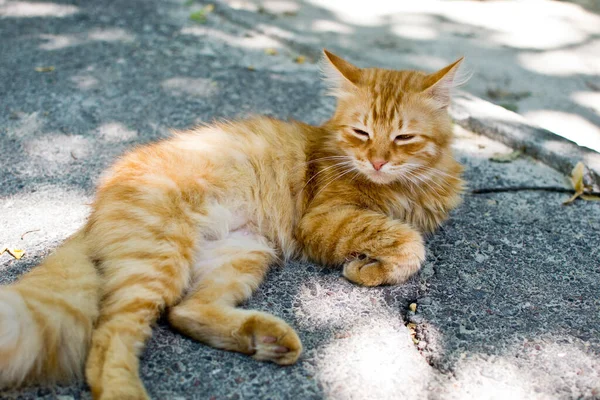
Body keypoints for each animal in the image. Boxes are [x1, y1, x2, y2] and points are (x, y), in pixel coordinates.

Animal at [0, 50, 464, 400]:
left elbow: (403, 238)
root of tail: (96, 208)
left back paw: (267, 340)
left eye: (403, 138)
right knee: (109, 337)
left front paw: (370, 263)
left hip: (244, 253)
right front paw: (366, 267)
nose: (378, 162)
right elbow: (408, 243)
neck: (405, 186)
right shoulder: (323, 219)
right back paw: (125, 390)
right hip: (160, 259)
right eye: (361, 132)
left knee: (185, 312)